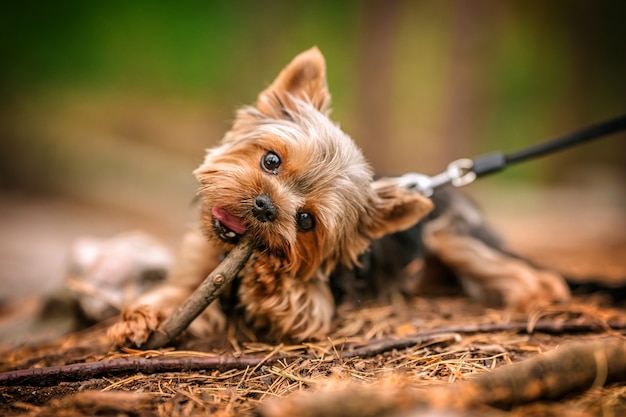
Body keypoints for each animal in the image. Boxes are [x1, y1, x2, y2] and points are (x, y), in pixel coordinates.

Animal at [108, 48, 572, 348]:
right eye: (271, 160)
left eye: (306, 221)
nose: (265, 206)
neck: (229, 256)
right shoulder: (195, 273)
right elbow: (173, 295)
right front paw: (137, 319)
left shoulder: (316, 306)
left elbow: (299, 304)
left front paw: (270, 273)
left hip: (450, 237)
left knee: (534, 277)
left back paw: (532, 297)